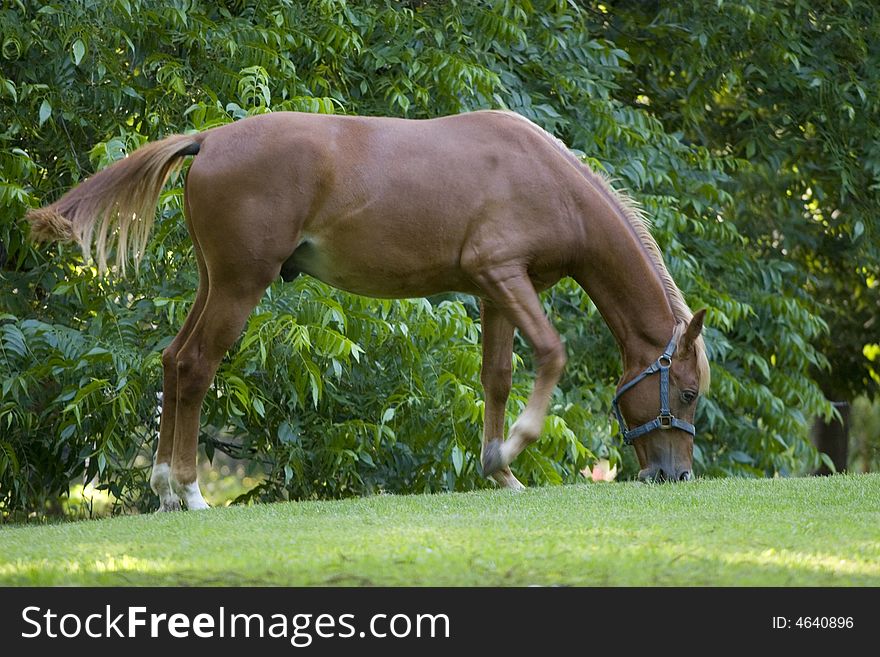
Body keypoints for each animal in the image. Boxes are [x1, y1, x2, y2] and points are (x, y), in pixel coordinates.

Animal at [29, 110, 708, 510]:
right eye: (689, 392)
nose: (675, 475)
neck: (548, 178)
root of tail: (210, 139)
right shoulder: (506, 278)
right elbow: (550, 353)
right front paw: (515, 447)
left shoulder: (494, 291)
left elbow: (497, 377)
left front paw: (499, 470)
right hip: (239, 286)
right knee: (196, 365)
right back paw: (190, 492)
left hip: (213, 283)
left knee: (172, 362)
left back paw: (167, 487)